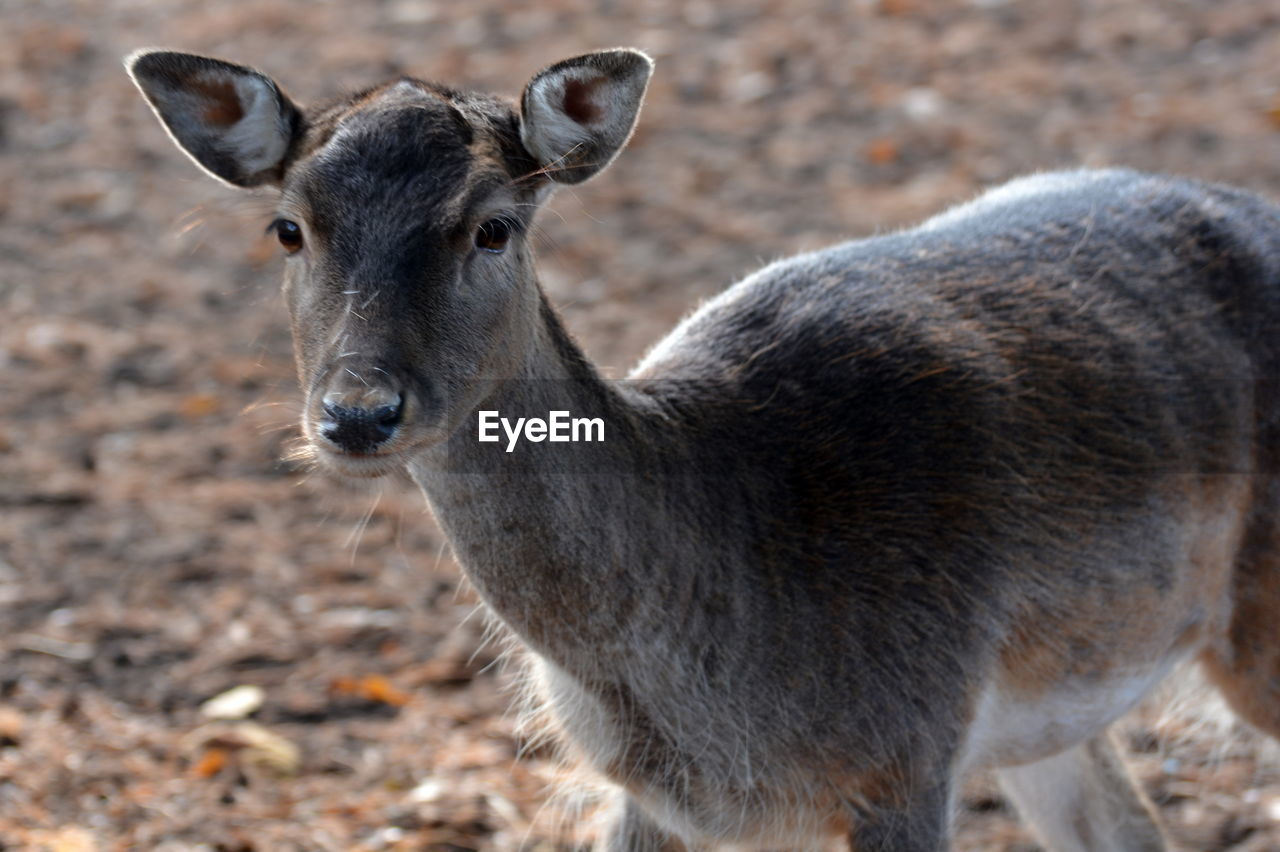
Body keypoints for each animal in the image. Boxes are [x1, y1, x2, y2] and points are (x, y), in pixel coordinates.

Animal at [127, 47, 1280, 849]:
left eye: (493, 225)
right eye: (288, 228)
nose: (358, 414)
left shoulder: (907, 750)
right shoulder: (644, 793)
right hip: (1051, 722)